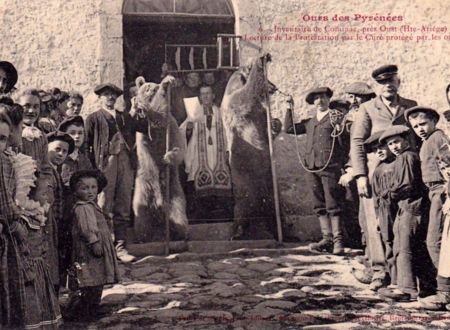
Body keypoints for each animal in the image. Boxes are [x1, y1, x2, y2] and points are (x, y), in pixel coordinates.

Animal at [132, 74, 188, 240]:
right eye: (146, 87)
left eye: (154, 86)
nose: (151, 88)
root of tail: (158, 203)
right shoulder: (145, 135)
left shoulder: (169, 125)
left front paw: (166, 83)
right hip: (143, 188)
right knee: (141, 217)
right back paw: (143, 235)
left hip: (174, 192)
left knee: (179, 215)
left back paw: (179, 232)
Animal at [221, 54, 278, 240]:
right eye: (269, 79)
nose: (274, 87)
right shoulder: (237, 104)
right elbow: (248, 95)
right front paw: (261, 59)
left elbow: (267, 126)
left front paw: (276, 123)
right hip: (245, 182)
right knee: (244, 206)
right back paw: (238, 232)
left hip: (265, 182)